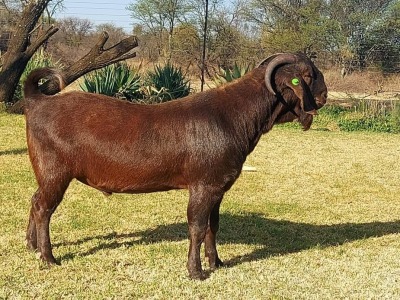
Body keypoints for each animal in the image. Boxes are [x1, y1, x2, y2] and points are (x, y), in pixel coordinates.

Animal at [23, 52, 326, 280]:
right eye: (309, 76)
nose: (323, 97)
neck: (234, 115)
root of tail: (37, 102)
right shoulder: (203, 185)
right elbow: (197, 226)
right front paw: (196, 272)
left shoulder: (218, 187)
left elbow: (213, 225)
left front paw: (217, 263)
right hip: (55, 171)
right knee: (43, 207)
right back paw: (48, 257)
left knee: (35, 200)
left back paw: (31, 245)